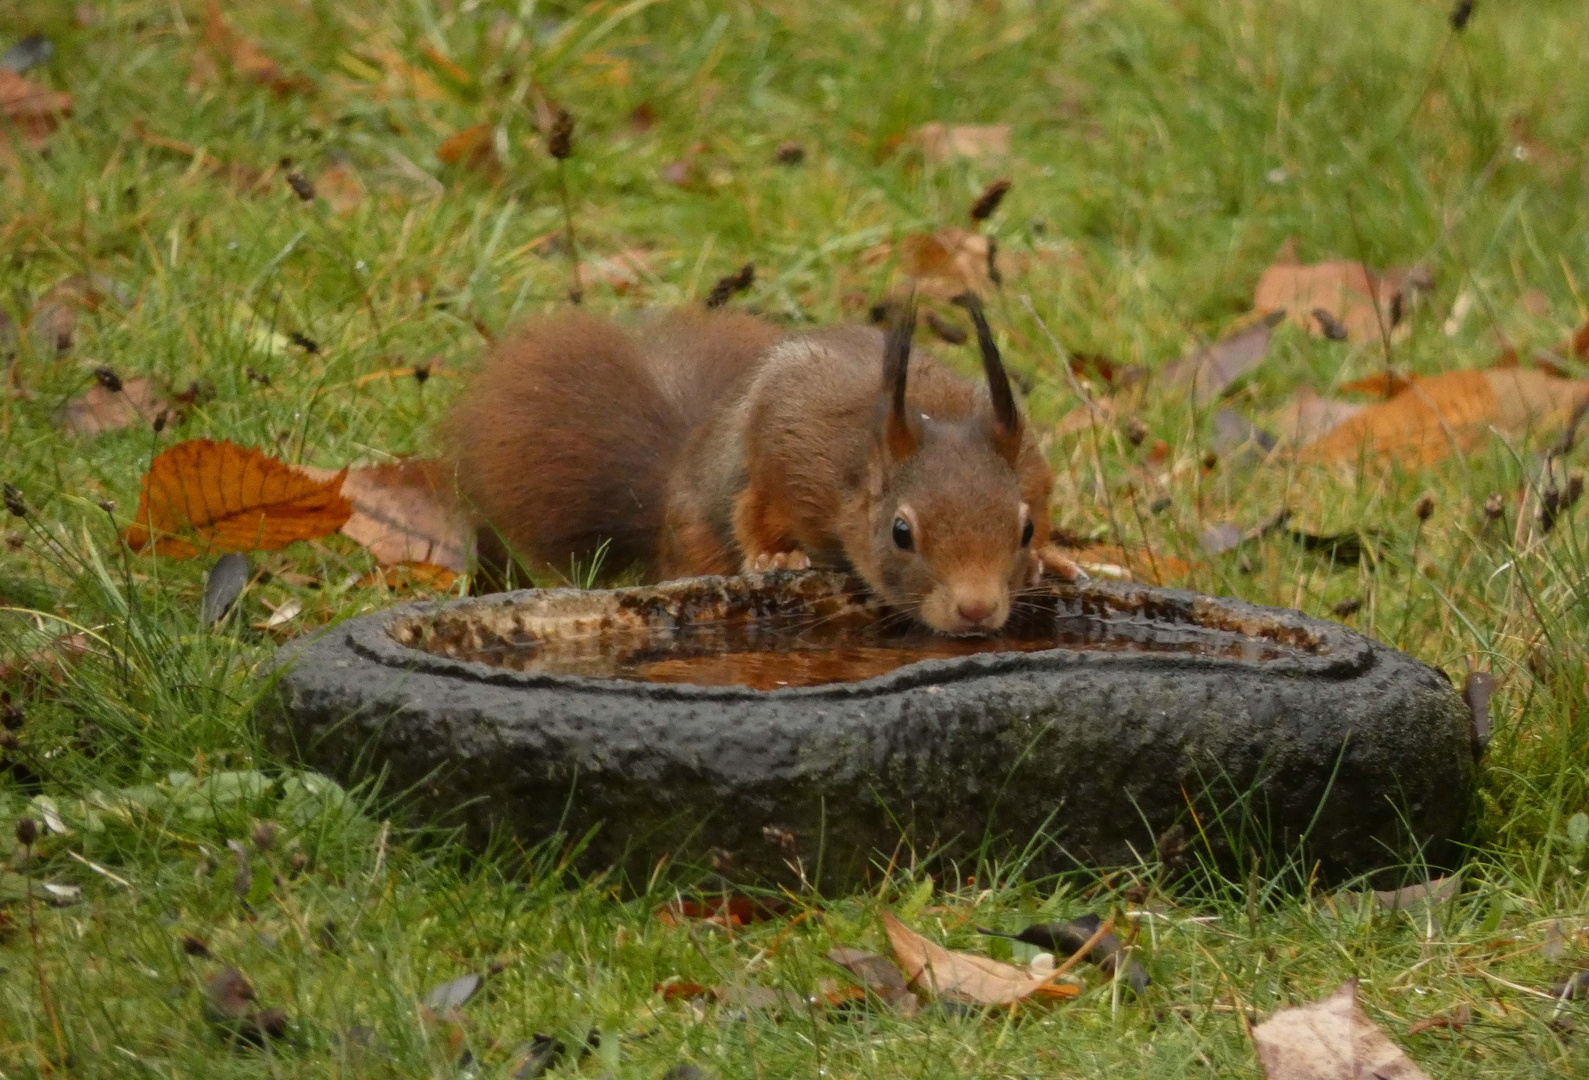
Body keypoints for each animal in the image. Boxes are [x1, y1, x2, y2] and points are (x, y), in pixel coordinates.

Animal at [448, 295, 1080, 632]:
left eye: (1024, 528)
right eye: (901, 533)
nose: (976, 609)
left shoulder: (1033, 466)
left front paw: (1051, 558)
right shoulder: (786, 443)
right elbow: (753, 508)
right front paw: (774, 557)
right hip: (693, 540)